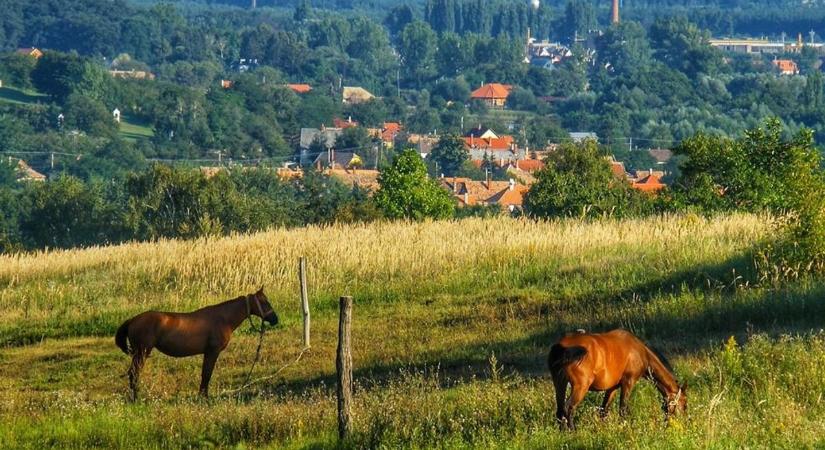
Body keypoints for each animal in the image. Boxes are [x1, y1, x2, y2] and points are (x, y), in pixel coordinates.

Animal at [114, 286, 278, 400]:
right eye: (264, 302)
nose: (275, 319)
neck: (223, 318)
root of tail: (133, 320)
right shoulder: (212, 352)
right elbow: (207, 374)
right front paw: (204, 397)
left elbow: (205, 374)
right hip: (141, 352)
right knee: (134, 373)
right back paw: (136, 398)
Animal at [548, 330, 688, 428]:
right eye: (685, 403)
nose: (685, 421)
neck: (640, 352)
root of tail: (561, 347)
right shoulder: (628, 383)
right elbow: (622, 409)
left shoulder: (612, 388)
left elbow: (604, 411)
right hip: (580, 387)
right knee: (568, 408)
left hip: (560, 384)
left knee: (559, 411)